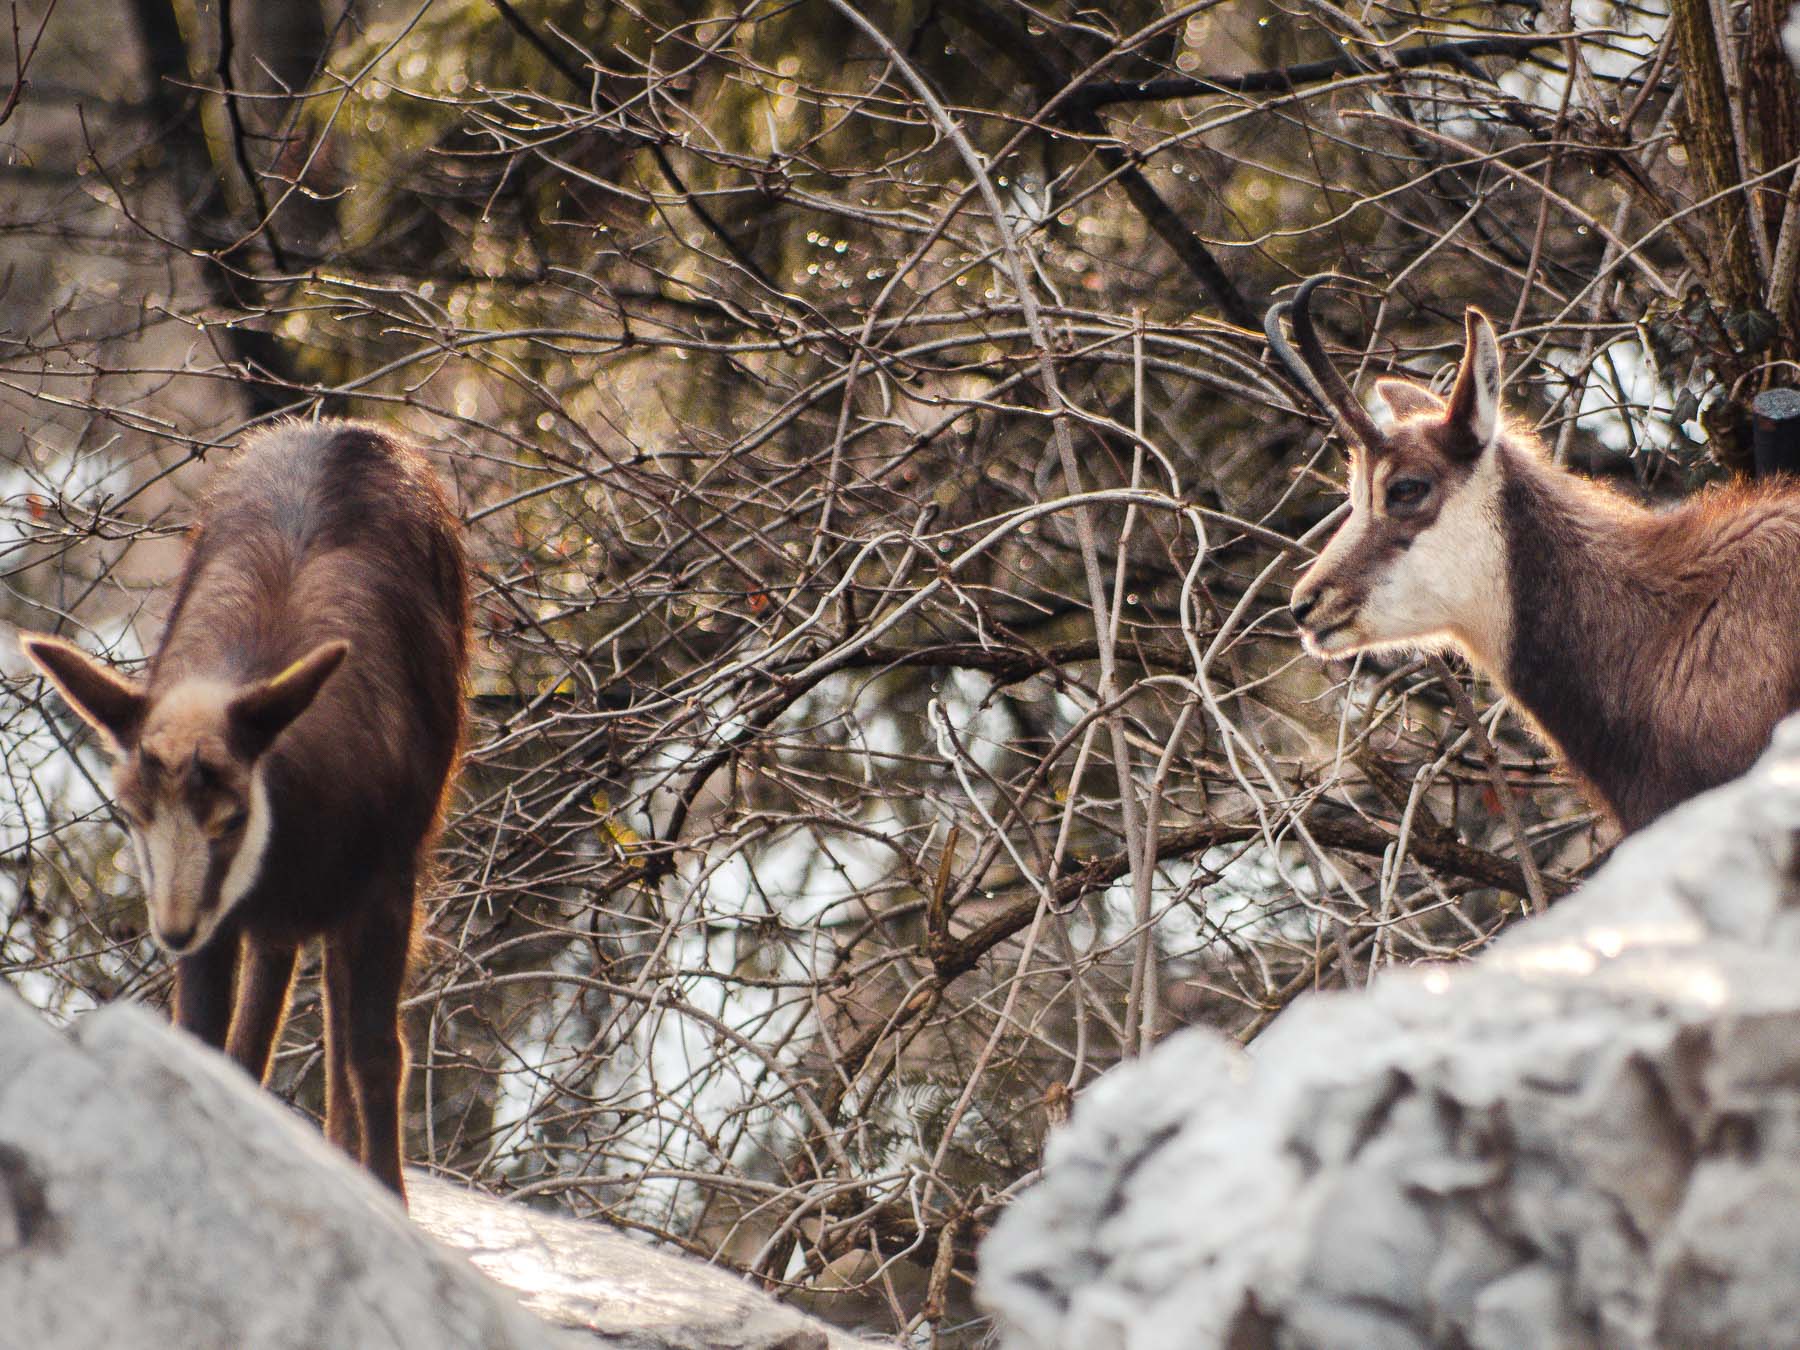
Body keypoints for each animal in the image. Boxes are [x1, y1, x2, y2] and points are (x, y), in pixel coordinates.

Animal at [18, 419, 469, 1202]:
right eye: (131, 814)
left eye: (228, 816)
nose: (171, 931)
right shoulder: (229, 919)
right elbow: (208, 1044)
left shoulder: (387, 884)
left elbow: (377, 1054)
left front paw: (389, 1197)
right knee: (267, 1022)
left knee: (338, 1034)